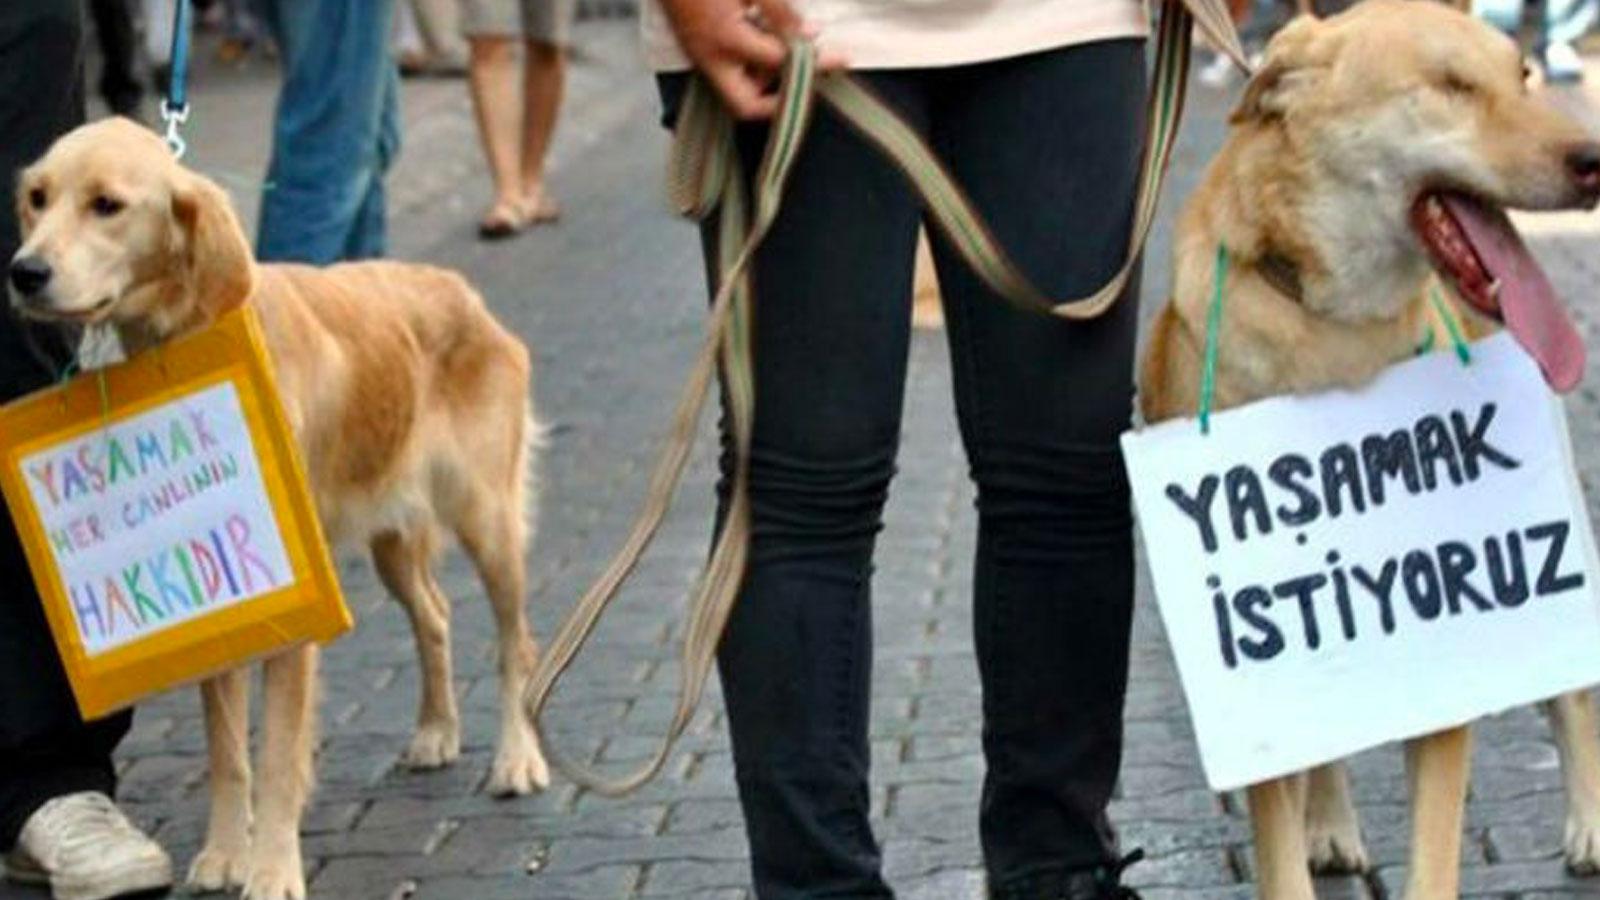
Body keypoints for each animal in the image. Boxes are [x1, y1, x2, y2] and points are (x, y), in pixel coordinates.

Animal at [7, 120, 550, 896]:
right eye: (38, 199)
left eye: (106, 204)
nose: (24, 272)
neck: (188, 330)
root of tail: (461, 291)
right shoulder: (225, 611)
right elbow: (228, 753)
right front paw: (224, 854)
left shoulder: (295, 615)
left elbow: (276, 759)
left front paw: (270, 871)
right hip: (391, 542)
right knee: (437, 617)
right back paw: (436, 732)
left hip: (488, 522)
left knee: (515, 644)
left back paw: (517, 758)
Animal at [1139, 3, 1600, 890]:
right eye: (1451, 85)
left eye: (1523, 75)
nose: (1595, 161)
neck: (1336, 334)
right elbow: (1281, 849)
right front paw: (1310, 835)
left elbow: (1434, 858)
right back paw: (1331, 822)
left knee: (1572, 691)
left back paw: (1591, 823)